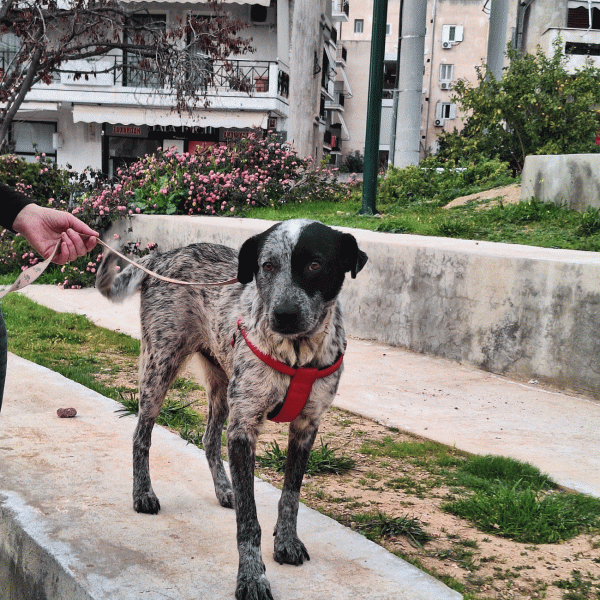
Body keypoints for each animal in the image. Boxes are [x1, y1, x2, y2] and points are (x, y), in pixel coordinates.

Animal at [96, 220, 368, 600]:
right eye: (267, 265)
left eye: (315, 265)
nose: (283, 316)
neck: (297, 354)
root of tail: (162, 256)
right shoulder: (244, 428)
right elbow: (249, 521)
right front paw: (252, 577)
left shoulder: (306, 425)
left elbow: (291, 494)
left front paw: (286, 542)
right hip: (159, 368)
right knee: (141, 436)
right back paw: (143, 494)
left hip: (221, 386)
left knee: (210, 438)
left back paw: (225, 489)